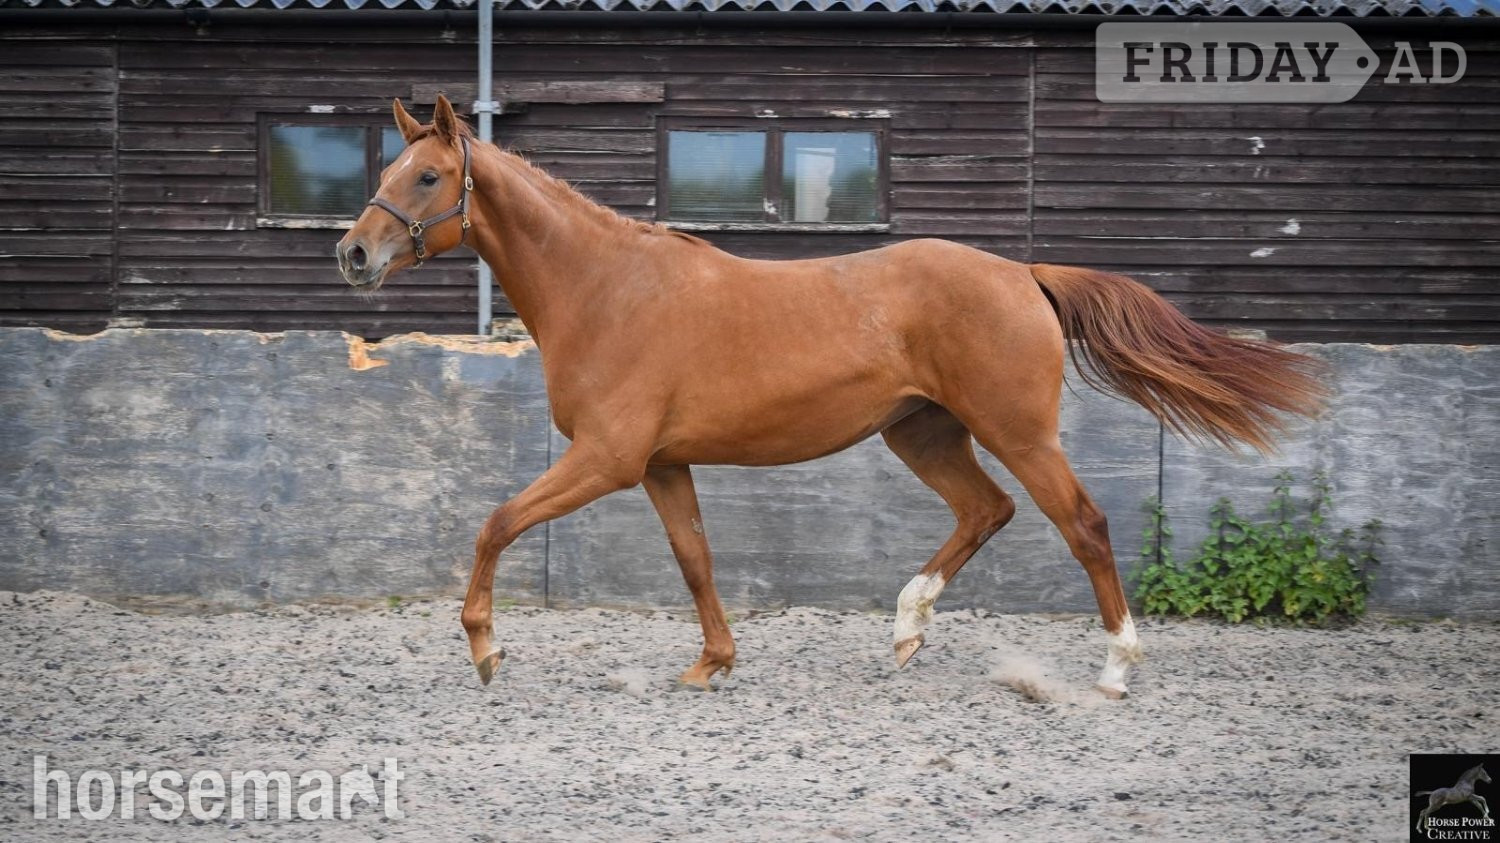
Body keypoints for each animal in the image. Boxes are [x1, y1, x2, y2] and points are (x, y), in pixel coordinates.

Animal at [336, 95, 1324, 698]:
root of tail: (1023, 275)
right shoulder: (660, 464)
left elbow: (496, 522)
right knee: (988, 510)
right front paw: (713, 663)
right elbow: (695, 559)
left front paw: (485, 648)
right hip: (924, 435)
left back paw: (1116, 669)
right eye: (384, 171)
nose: (353, 254)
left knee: (1082, 522)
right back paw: (907, 629)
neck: (608, 288)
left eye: (428, 176)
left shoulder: (608, 458)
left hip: (1016, 431)